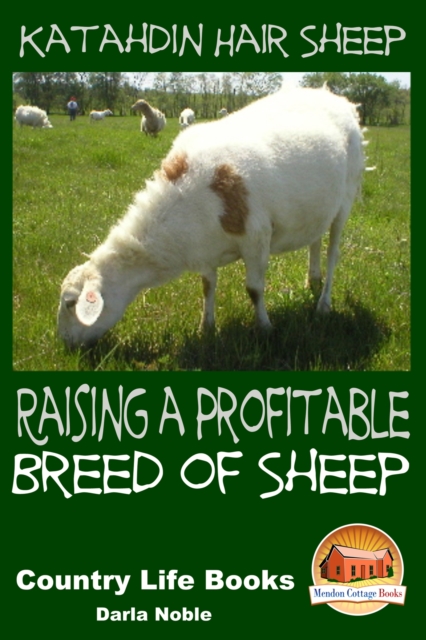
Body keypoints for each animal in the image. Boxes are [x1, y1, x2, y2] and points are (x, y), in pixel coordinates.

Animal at [58, 86, 366, 349]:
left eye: (71, 304)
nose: (66, 346)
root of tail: (335, 98)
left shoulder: (257, 238)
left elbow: (254, 289)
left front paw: (265, 328)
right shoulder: (205, 249)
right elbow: (207, 287)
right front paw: (206, 327)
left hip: (346, 198)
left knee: (333, 253)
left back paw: (323, 304)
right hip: (320, 207)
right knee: (315, 241)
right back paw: (312, 279)